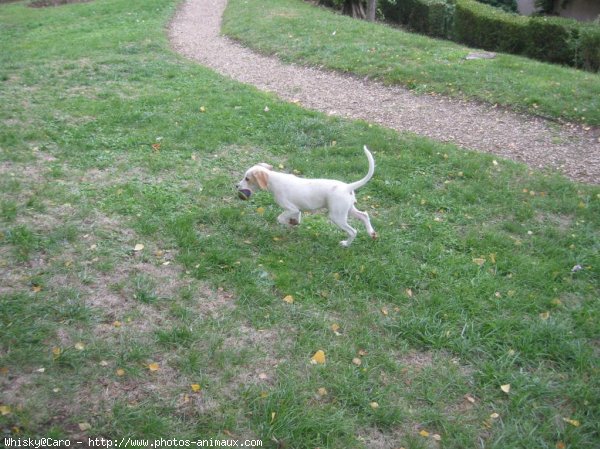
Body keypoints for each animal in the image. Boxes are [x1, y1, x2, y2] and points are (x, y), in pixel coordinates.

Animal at [237, 146, 378, 245]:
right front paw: (294, 223)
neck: (274, 180)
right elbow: (296, 219)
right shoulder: (296, 210)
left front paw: (289, 223)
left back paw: (345, 244)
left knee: (353, 231)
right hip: (347, 210)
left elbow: (280, 219)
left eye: (247, 179)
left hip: (337, 216)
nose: (236, 186)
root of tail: (347, 186)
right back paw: (371, 233)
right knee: (364, 215)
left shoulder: (291, 208)